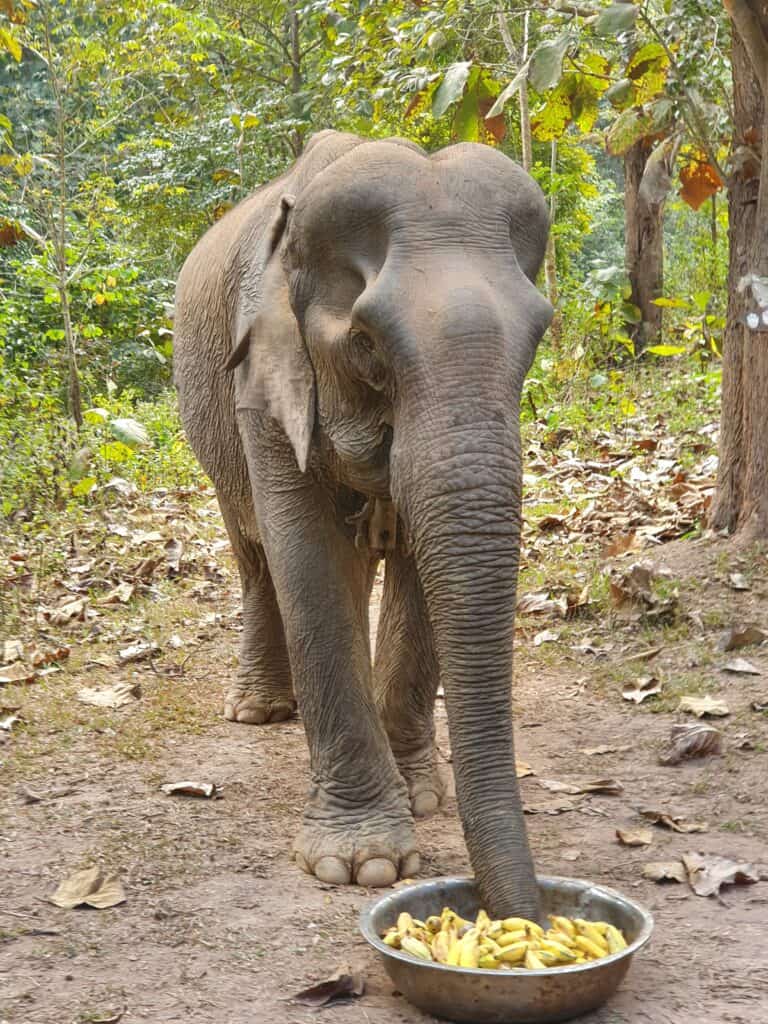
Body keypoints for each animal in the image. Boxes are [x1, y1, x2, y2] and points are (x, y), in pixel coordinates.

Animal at [173, 128, 552, 921]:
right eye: (369, 343)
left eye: (540, 333)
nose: (525, 915)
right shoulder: (262, 380)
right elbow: (308, 562)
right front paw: (362, 864)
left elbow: (419, 564)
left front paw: (421, 797)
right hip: (208, 433)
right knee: (254, 556)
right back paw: (257, 712)